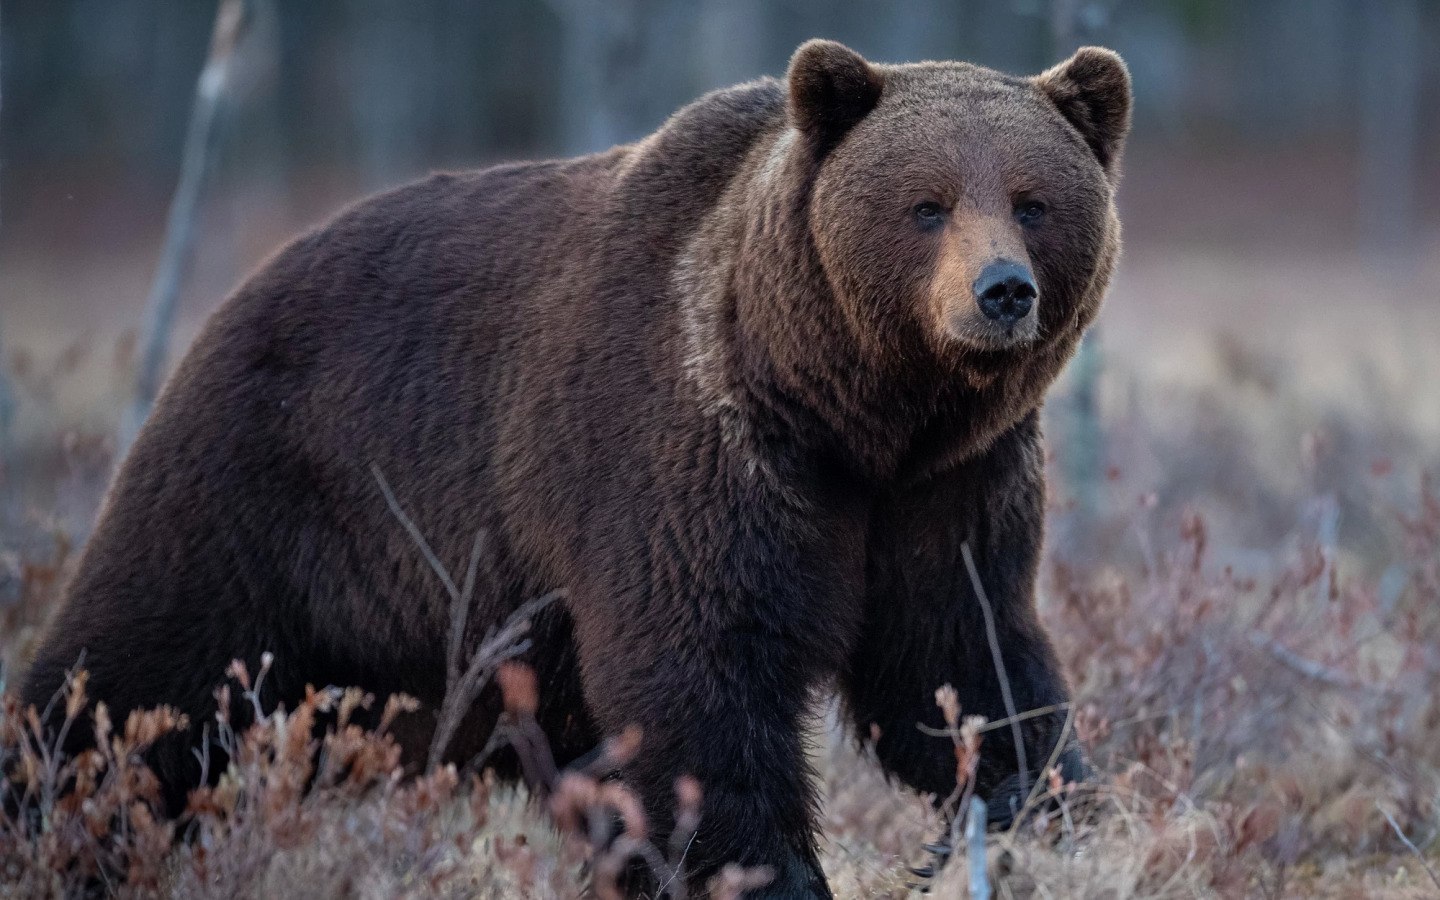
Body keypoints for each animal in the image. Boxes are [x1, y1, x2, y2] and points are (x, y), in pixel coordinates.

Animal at [22, 40, 1123, 892]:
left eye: (1032, 200)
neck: (850, 414)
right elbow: (698, 680)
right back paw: (56, 818)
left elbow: (959, 663)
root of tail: (232, 299)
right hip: (258, 494)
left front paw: (1053, 809)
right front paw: (769, 872)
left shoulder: (947, 489)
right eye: (927, 204)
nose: (1001, 292)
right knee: (130, 687)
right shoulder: (686, 456)